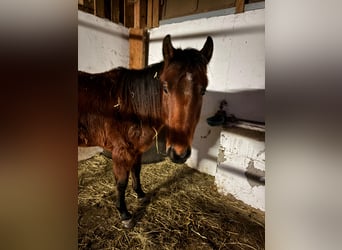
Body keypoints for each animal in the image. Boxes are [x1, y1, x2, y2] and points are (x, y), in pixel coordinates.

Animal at [78, 34, 212, 228]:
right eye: (165, 88)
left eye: (203, 91)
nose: (179, 153)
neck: (131, 105)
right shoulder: (121, 152)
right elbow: (121, 183)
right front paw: (124, 214)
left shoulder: (136, 150)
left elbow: (136, 171)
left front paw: (140, 194)